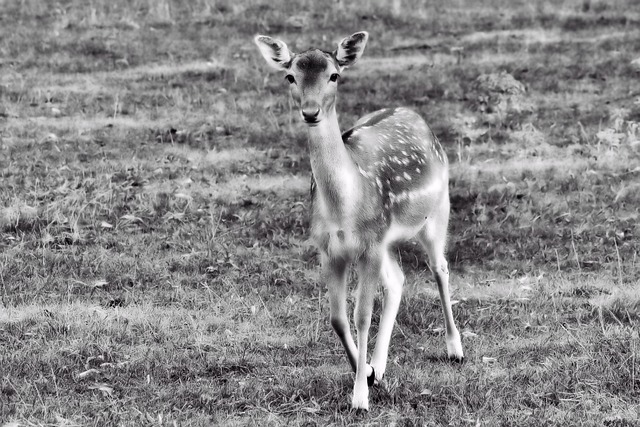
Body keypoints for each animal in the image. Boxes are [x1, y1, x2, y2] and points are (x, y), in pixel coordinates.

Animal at [255, 30, 464, 412]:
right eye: (290, 76)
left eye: (334, 75)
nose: (311, 112)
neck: (344, 209)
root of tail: (413, 114)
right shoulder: (330, 249)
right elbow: (338, 318)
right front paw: (365, 372)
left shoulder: (369, 245)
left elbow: (362, 315)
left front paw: (359, 397)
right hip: (386, 241)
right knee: (397, 280)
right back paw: (379, 367)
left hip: (437, 210)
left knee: (439, 268)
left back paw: (455, 349)